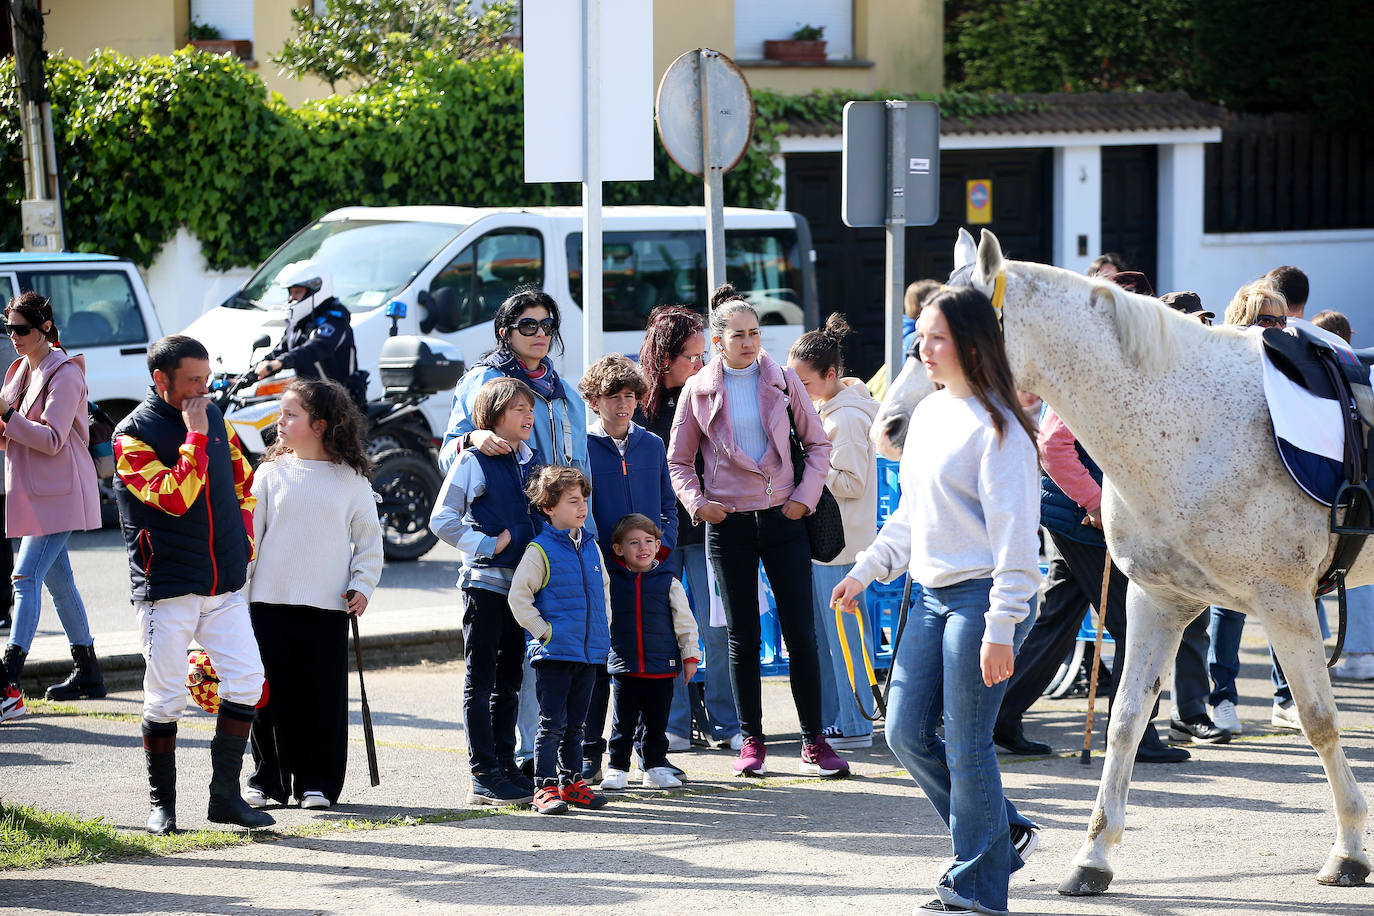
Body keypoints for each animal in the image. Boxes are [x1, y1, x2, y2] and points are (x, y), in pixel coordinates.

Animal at [873, 229, 1368, 895]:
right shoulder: (1158, 600)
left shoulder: (1285, 603)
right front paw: (1093, 857)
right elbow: (1126, 720)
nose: (890, 427)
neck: (1193, 425)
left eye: (941, 338)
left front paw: (1349, 850)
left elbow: (1319, 720)